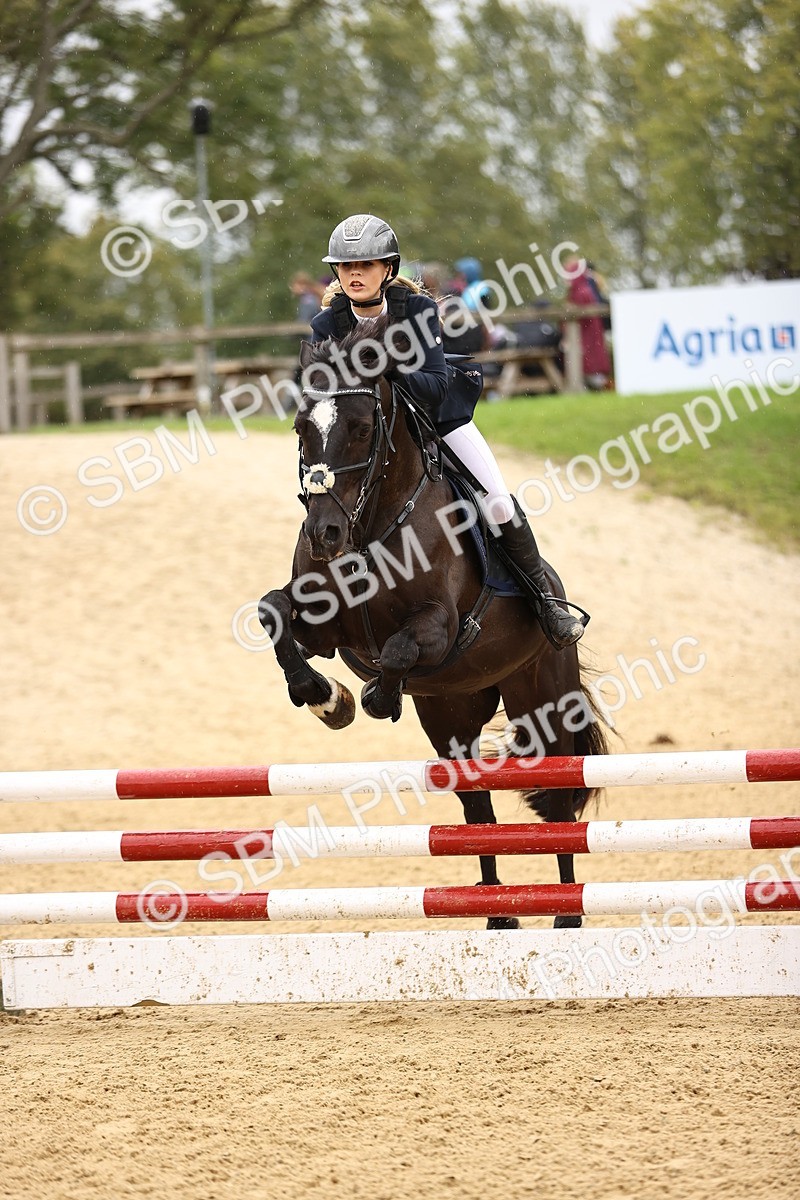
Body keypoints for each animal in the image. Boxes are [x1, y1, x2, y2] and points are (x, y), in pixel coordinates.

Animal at [259, 317, 609, 929]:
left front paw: (375, 697)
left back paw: (565, 915)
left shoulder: (440, 629)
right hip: (451, 714)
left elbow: (400, 650)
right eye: (302, 428)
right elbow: (273, 612)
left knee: (559, 800)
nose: (324, 534)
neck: (369, 527)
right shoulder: (325, 630)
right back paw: (498, 915)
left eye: (360, 428)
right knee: (477, 808)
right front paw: (326, 698)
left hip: (542, 698)